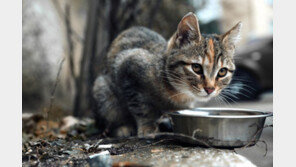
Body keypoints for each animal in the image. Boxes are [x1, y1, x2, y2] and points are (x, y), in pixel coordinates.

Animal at [93, 11, 242, 137]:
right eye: (196, 68)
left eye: (222, 71)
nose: (210, 89)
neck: (179, 92)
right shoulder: (128, 66)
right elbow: (141, 107)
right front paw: (148, 127)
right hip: (103, 90)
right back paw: (122, 127)